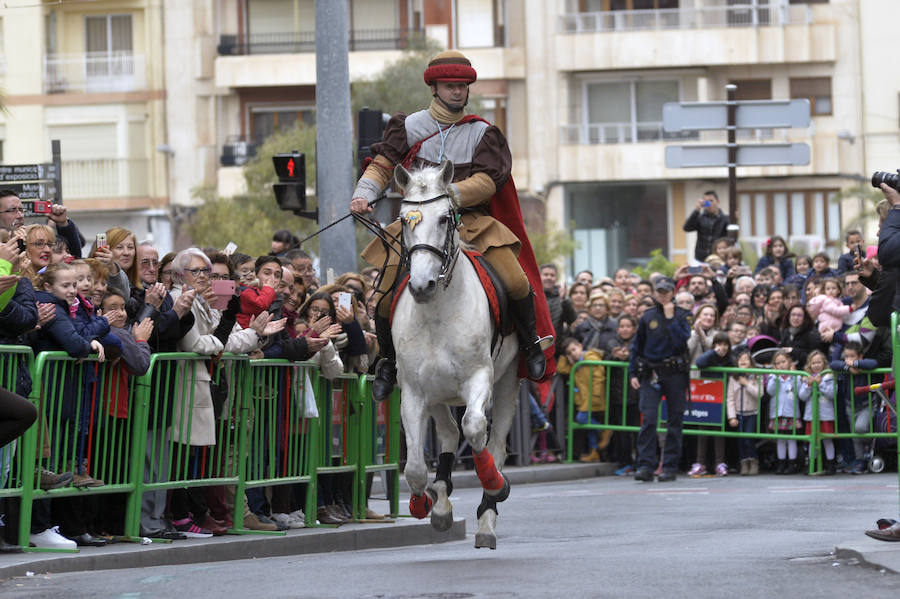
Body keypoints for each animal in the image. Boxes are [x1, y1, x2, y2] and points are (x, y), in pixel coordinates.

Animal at [394, 161, 520, 552]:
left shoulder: (480, 378)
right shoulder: (414, 391)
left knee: (494, 444)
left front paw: (494, 486)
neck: (437, 314)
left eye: (444, 218)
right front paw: (423, 502)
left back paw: (486, 521)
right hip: (437, 393)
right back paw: (441, 502)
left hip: (509, 381)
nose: (422, 286)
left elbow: (475, 428)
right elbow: (414, 466)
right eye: (403, 220)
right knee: (449, 434)